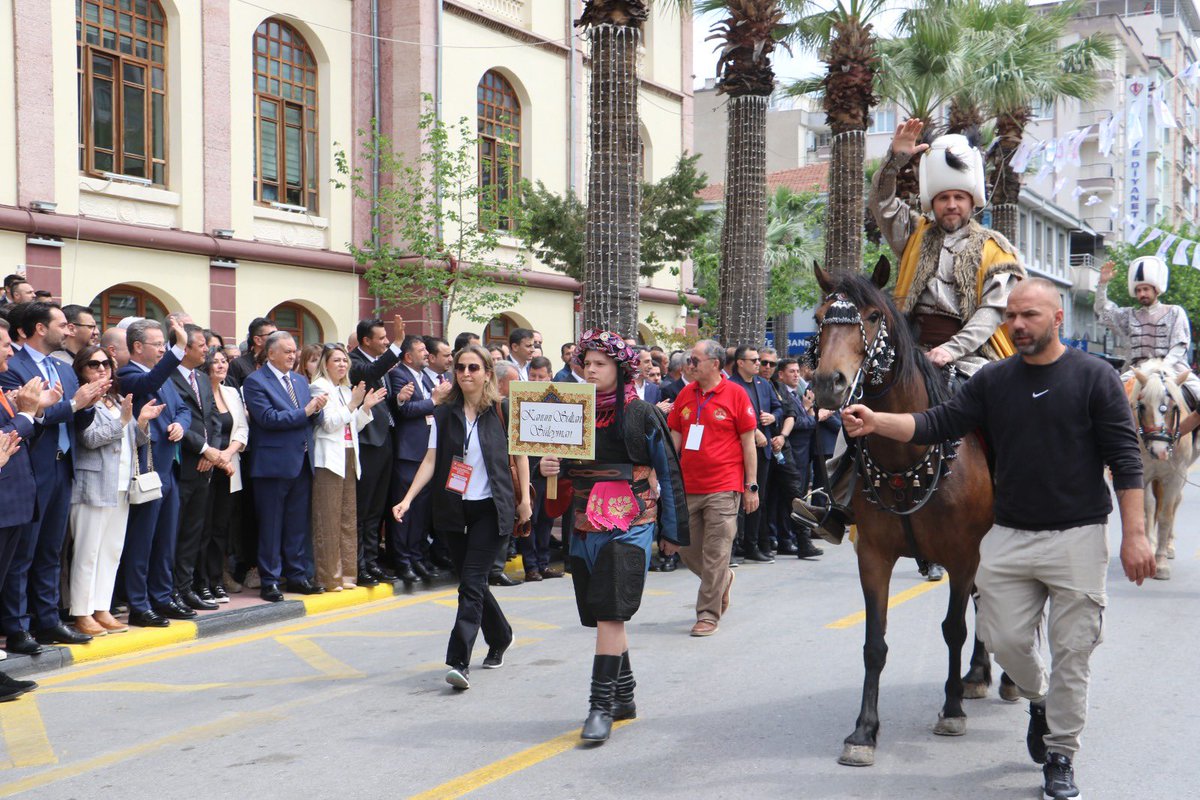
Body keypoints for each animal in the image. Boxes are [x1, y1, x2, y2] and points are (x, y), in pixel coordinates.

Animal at [811, 260, 998, 767]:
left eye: (873, 316)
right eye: (818, 318)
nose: (828, 384)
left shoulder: (963, 555)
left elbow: (953, 628)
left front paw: (951, 709)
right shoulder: (873, 555)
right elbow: (874, 644)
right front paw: (863, 731)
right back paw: (979, 673)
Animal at [1128, 362, 1195, 582]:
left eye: (1174, 408)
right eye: (1142, 406)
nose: (1160, 450)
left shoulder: (1174, 477)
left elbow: (1166, 515)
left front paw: (1162, 563)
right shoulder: (1142, 475)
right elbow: (1148, 508)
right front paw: (1149, 549)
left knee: (1175, 504)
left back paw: (1169, 546)